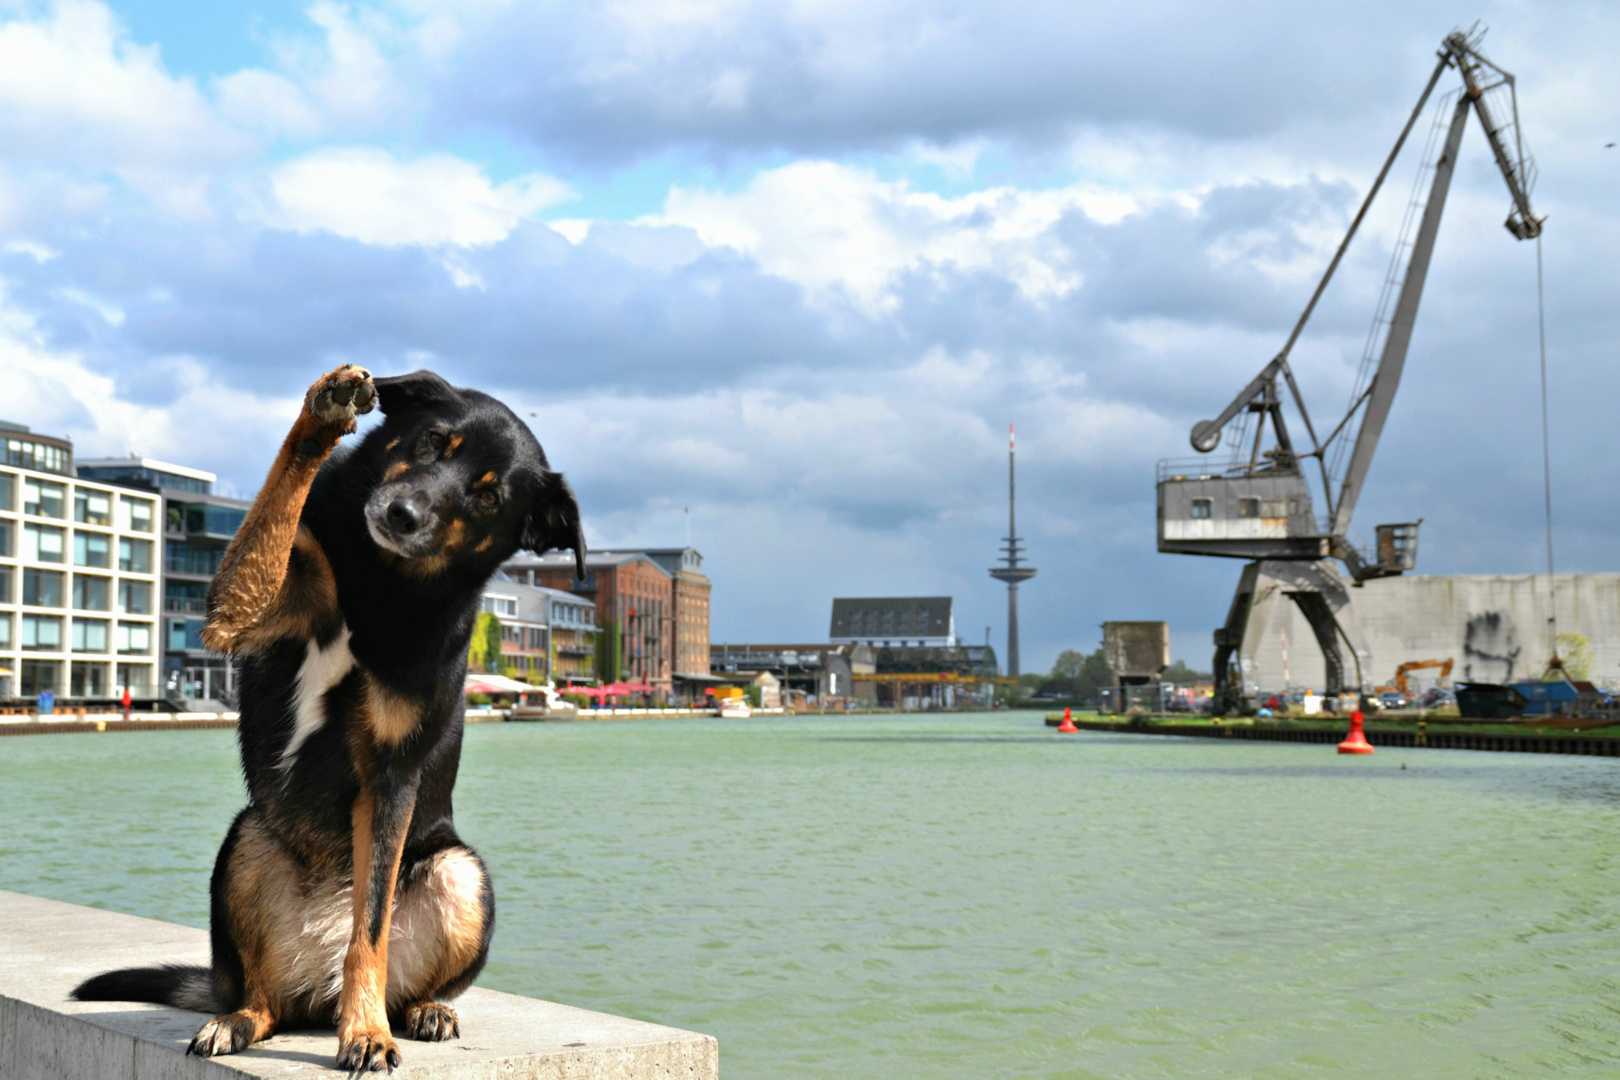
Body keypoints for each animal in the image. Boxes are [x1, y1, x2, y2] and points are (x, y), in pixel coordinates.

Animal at [76, 365, 586, 1075]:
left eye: (488, 498)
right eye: (434, 440)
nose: (402, 514)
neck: (381, 580)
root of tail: (316, 991)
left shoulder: (391, 776)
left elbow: (369, 930)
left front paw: (366, 1031)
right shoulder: (242, 605)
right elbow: (281, 499)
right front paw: (323, 413)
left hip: (460, 871)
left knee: (387, 966)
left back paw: (420, 1010)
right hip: (247, 841)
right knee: (263, 999)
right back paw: (235, 1020)